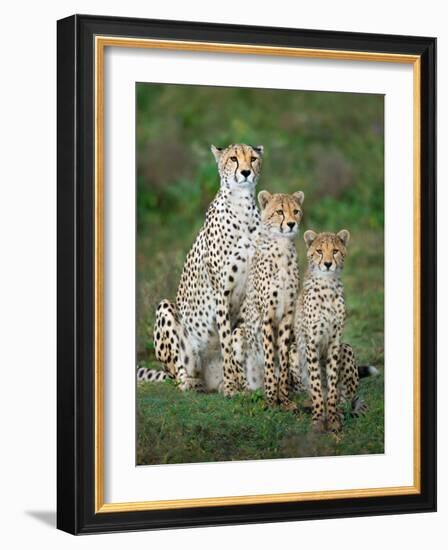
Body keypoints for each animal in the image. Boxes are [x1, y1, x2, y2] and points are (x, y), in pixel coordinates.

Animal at [231, 192, 304, 412]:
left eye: (296, 211)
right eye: (279, 211)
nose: (291, 224)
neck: (282, 248)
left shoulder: (287, 315)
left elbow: (283, 360)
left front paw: (285, 400)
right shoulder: (267, 317)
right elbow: (271, 358)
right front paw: (272, 400)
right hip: (238, 334)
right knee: (242, 378)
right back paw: (251, 392)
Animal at [288, 231, 376, 434]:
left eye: (335, 251)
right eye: (319, 251)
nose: (328, 264)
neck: (327, 285)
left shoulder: (335, 341)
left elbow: (333, 379)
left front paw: (334, 419)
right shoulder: (312, 342)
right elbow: (315, 382)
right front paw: (318, 419)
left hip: (347, 348)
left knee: (347, 396)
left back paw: (341, 410)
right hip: (294, 350)